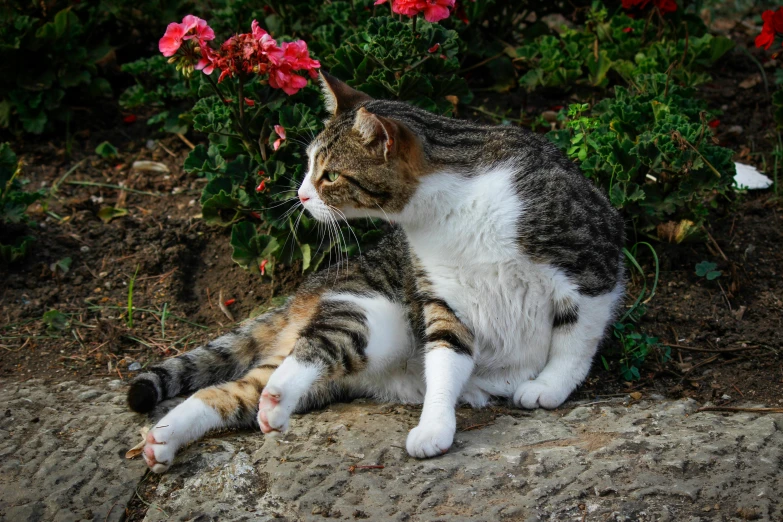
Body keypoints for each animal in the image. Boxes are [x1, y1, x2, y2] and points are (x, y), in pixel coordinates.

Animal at [132, 71, 628, 474]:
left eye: (329, 174)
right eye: (310, 167)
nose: (301, 195)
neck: (447, 213)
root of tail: (310, 289)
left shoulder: (591, 264)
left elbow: (575, 342)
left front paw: (548, 386)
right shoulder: (445, 297)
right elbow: (444, 360)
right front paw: (435, 426)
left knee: (235, 392)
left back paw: (180, 433)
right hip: (368, 315)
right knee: (297, 359)